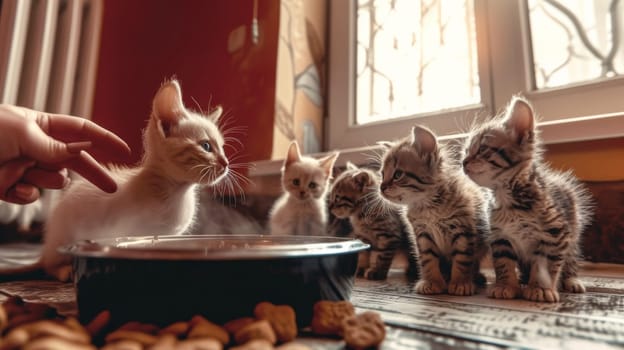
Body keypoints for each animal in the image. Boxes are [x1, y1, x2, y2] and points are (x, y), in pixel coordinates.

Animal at [380, 126, 488, 296]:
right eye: (382, 174)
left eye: (398, 175)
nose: (381, 187)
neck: (428, 206)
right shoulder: (422, 234)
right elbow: (428, 259)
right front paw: (432, 282)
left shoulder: (463, 229)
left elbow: (462, 259)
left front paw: (460, 283)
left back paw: (475, 276)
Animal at [464, 96, 588, 304]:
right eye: (466, 151)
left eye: (482, 149)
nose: (463, 162)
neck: (506, 198)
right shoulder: (500, 236)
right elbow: (504, 263)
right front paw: (506, 285)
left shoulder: (555, 234)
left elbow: (546, 265)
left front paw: (541, 288)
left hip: (572, 233)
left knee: (571, 258)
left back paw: (572, 280)